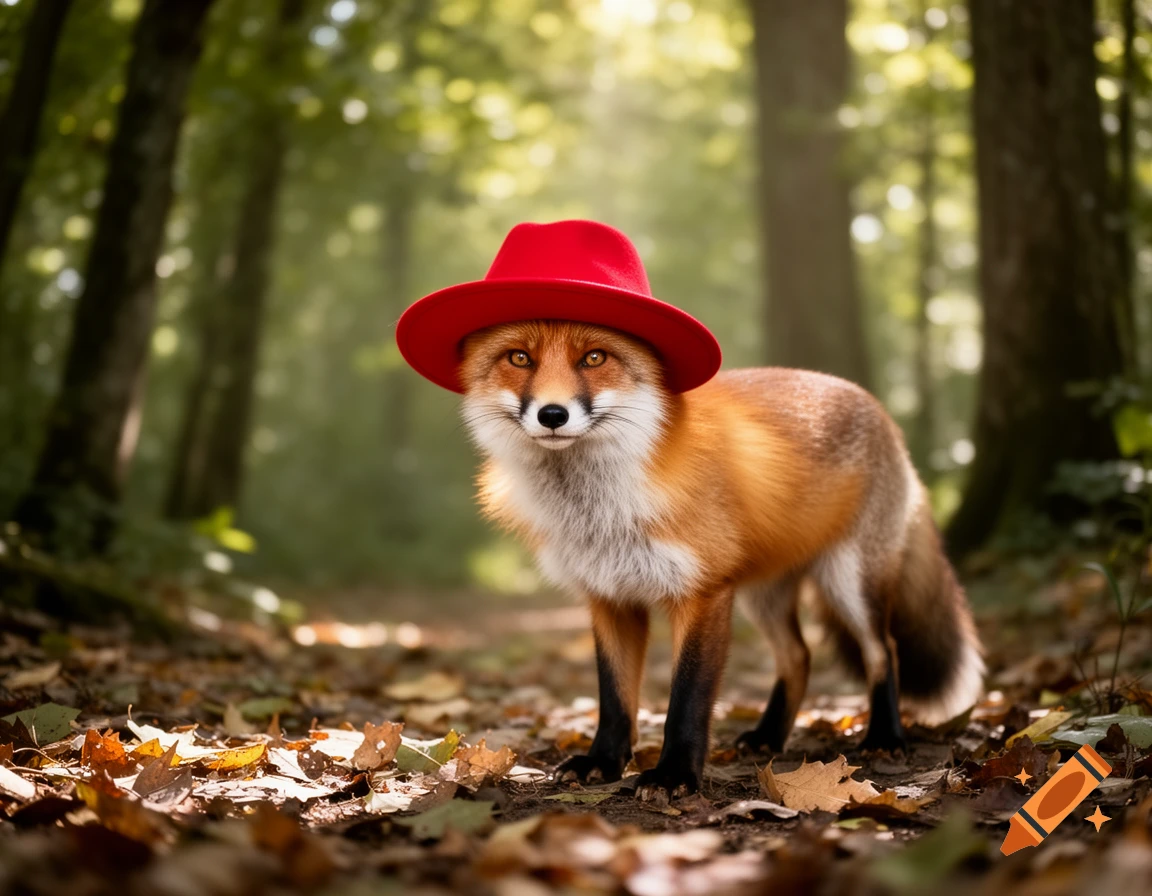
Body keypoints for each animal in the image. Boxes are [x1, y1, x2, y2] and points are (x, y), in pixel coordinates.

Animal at [457, 319, 984, 800]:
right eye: (519, 358)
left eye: (594, 358)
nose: (552, 414)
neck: (599, 511)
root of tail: (876, 408)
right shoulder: (609, 596)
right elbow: (614, 698)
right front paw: (603, 763)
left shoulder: (704, 591)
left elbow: (687, 698)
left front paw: (673, 775)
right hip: (763, 595)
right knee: (799, 655)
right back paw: (769, 736)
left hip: (849, 582)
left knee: (883, 650)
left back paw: (885, 736)